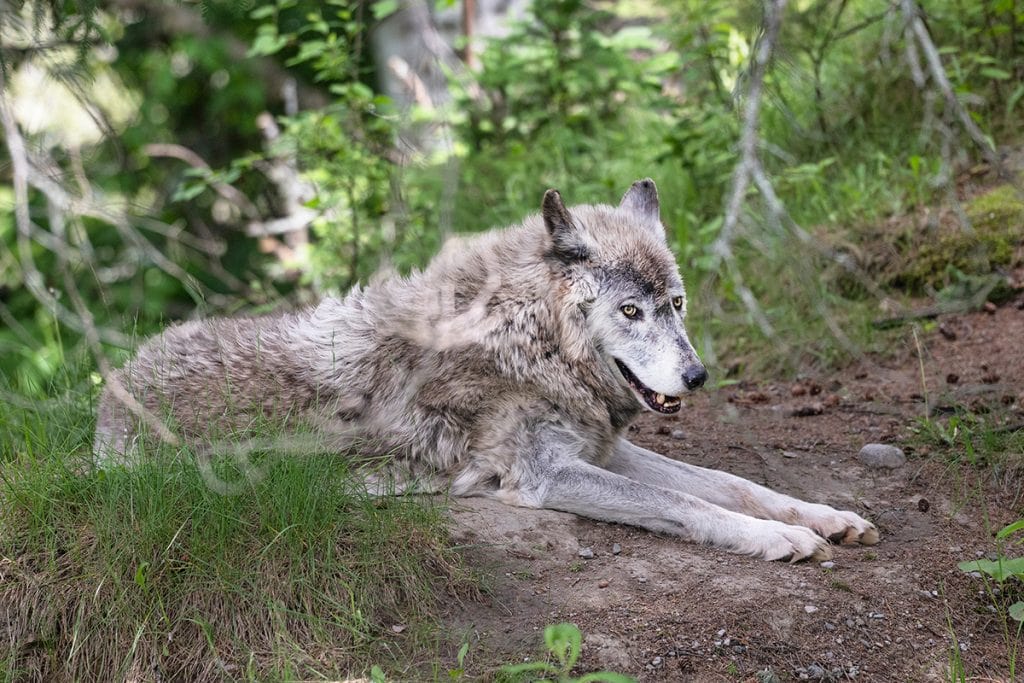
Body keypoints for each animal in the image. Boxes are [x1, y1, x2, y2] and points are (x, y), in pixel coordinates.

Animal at [95, 179, 878, 561]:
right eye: (630, 311)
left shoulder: (602, 448)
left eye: (676, 303)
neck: (528, 340)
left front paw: (826, 517)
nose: (697, 377)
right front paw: (778, 539)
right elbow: (687, 504)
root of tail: (114, 388)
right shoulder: (547, 474)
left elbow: (731, 482)